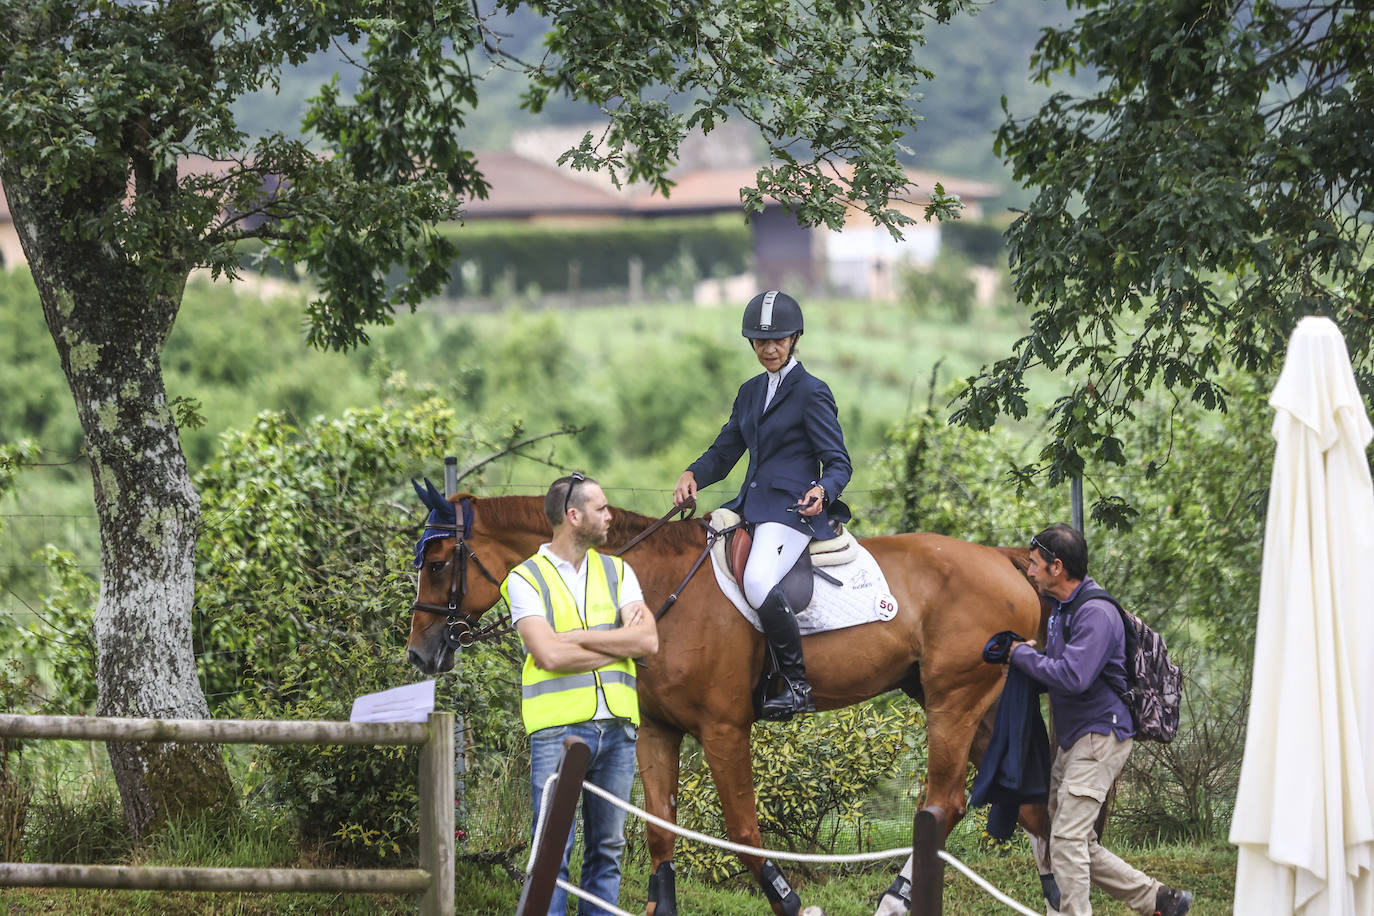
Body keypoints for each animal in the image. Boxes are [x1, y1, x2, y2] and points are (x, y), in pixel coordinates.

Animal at [406, 494, 1049, 916]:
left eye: (437, 565)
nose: (420, 653)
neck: (651, 586)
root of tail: (1003, 559)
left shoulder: (722, 728)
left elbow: (741, 828)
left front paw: (792, 904)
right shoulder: (657, 731)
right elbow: (660, 828)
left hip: (952, 702)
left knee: (944, 803)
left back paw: (895, 899)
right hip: (975, 705)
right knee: (1029, 807)